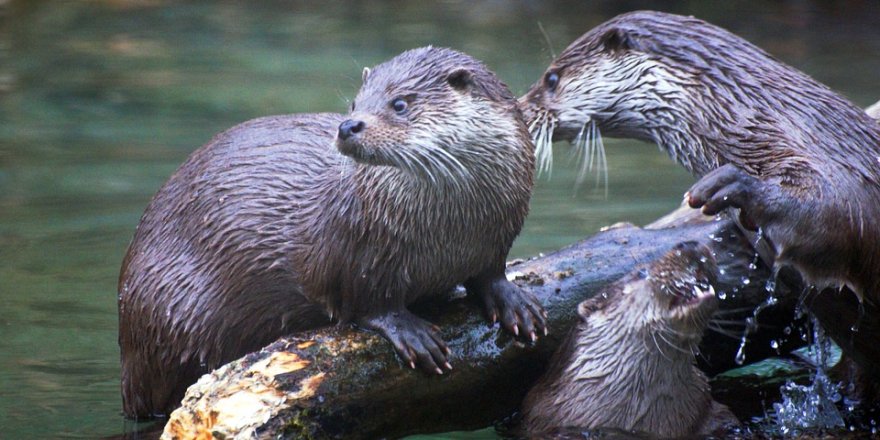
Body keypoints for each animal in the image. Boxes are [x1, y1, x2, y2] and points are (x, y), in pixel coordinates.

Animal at [117, 45, 544, 420]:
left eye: (400, 104)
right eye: (355, 103)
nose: (348, 125)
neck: (451, 232)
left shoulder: (498, 234)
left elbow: (490, 272)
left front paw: (513, 301)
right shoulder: (359, 250)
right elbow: (367, 302)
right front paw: (410, 331)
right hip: (170, 314)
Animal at [520, 11, 880, 388]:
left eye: (552, 78)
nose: (521, 109)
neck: (749, 114)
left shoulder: (837, 165)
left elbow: (841, 215)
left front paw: (737, 184)